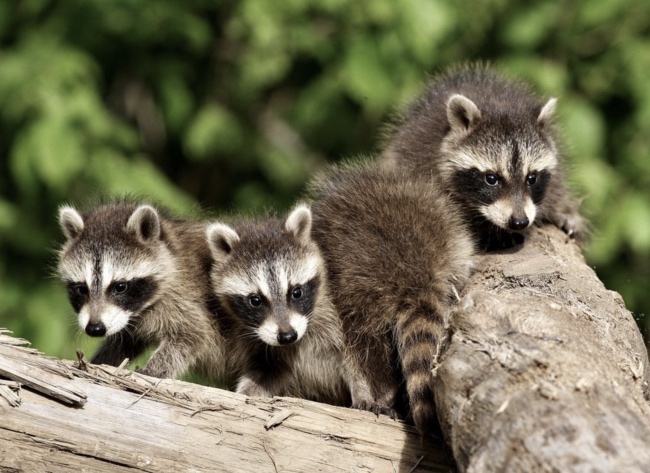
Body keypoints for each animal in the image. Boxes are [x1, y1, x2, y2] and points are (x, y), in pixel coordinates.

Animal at [57, 202, 231, 382]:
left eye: (120, 287)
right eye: (81, 288)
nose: (95, 328)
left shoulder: (187, 297)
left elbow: (191, 336)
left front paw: (153, 369)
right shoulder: (125, 318)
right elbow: (123, 343)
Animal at [380, 63, 586, 250]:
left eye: (532, 178)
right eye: (491, 179)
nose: (519, 222)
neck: (497, 105)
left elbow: (556, 185)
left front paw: (562, 209)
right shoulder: (419, 157)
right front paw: (488, 231)